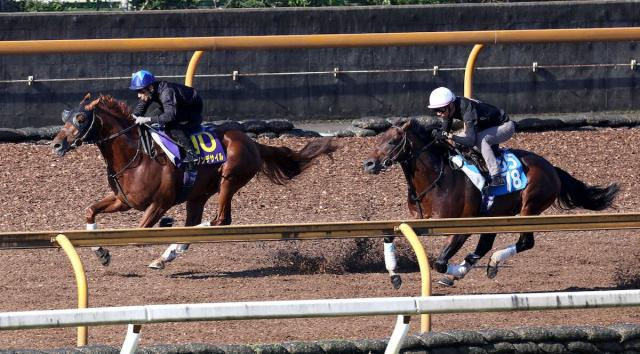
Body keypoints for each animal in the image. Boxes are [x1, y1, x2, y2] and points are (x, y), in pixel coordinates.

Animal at [52, 94, 338, 268]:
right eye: (64, 117)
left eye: (81, 118)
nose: (56, 144)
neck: (137, 155)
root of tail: (253, 142)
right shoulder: (124, 200)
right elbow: (90, 211)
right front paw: (101, 252)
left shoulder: (159, 204)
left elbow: (139, 235)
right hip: (198, 194)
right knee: (197, 222)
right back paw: (165, 256)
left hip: (229, 178)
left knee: (220, 220)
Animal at [362, 119, 616, 288]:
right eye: (378, 139)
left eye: (393, 141)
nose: (369, 163)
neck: (437, 179)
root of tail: (552, 168)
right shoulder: (420, 221)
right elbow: (390, 234)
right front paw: (395, 275)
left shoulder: (460, 226)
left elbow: (440, 262)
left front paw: (451, 271)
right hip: (497, 214)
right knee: (486, 244)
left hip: (530, 208)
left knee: (525, 242)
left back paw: (485, 265)